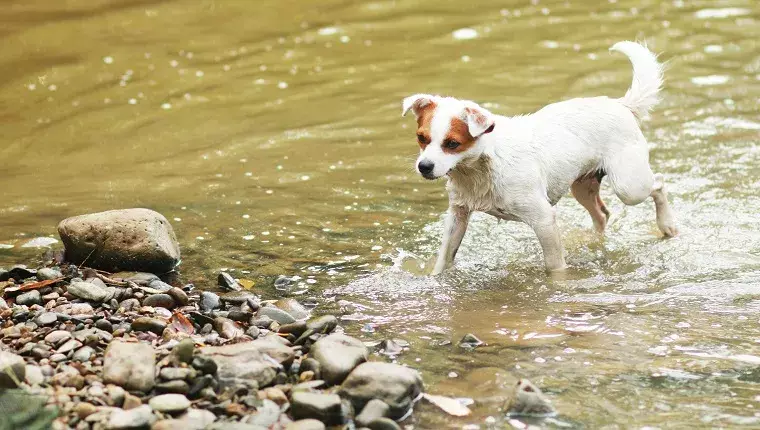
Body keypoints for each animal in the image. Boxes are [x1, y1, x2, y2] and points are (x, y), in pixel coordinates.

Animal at [404, 41, 676, 276]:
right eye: (421, 137)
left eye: (452, 143)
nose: (424, 166)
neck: (480, 169)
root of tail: (621, 104)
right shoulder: (458, 215)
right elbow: (444, 258)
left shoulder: (544, 219)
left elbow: (555, 265)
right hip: (583, 186)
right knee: (602, 215)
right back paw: (593, 242)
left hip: (628, 186)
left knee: (659, 184)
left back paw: (667, 224)